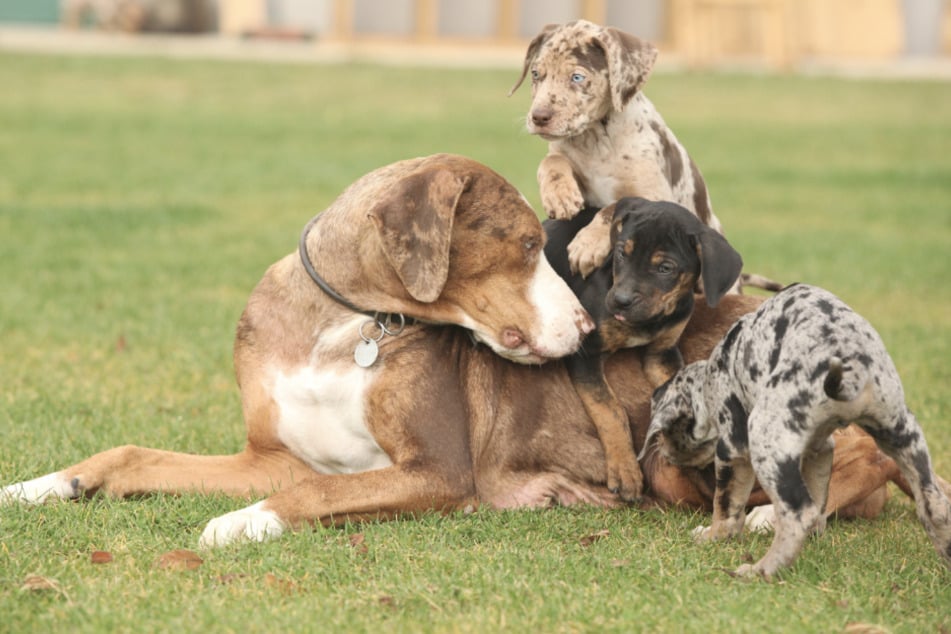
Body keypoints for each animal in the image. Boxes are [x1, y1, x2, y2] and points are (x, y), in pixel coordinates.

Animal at [0, 153, 904, 544]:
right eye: (522, 244)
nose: (589, 331)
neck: (342, 327)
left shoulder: (433, 473)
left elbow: (313, 495)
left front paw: (243, 521)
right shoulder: (272, 455)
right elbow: (130, 455)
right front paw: (43, 484)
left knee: (852, 470)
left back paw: (773, 513)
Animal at [648, 282, 951, 576]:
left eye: (666, 432)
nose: (664, 454)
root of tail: (851, 372)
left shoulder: (733, 450)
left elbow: (725, 506)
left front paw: (712, 536)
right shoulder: (820, 449)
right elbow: (819, 498)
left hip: (764, 443)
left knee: (797, 514)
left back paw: (760, 570)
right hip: (905, 438)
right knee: (933, 506)